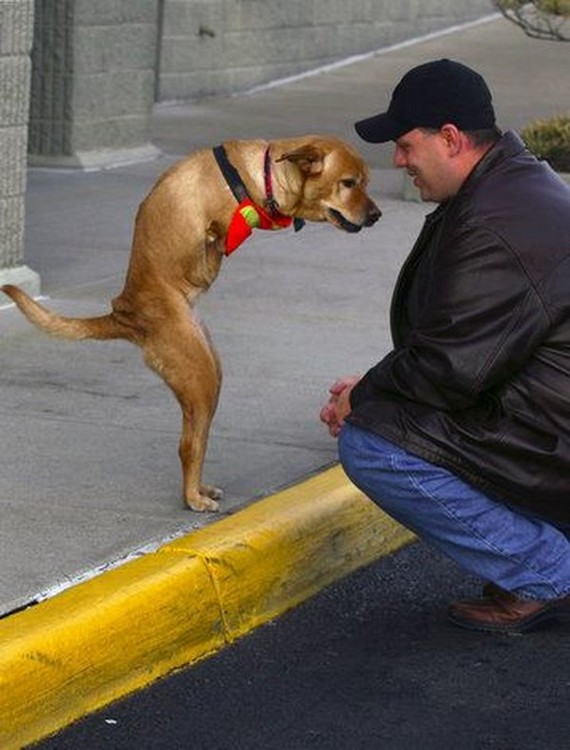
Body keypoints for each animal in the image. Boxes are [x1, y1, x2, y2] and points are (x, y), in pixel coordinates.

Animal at [3, 134, 382, 512]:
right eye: (349, 183)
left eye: (364, 182)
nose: (377, 215)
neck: (261, 176)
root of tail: (124, 315)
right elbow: (214, 234)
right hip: (201, 379)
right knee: (188, 446)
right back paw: (193, 498)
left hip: (208, 373)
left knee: (196, 441)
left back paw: (200, 489)